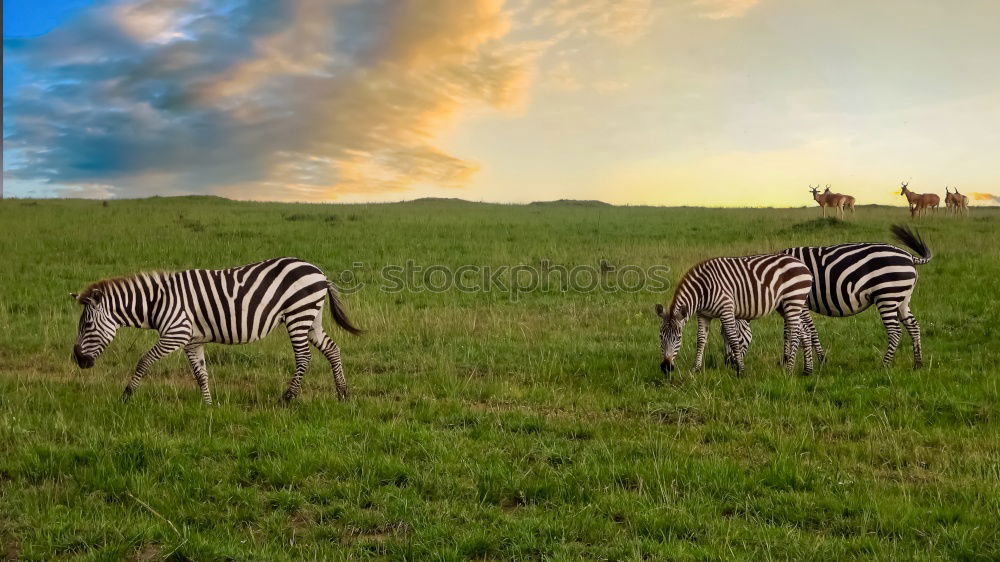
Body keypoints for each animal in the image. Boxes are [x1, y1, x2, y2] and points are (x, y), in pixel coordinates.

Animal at [72, 256, 366, 404]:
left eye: (87, 325)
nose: (77, 360)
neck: (159, 301)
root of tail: (319, 272)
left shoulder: (176, 333)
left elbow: (143, 360)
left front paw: (126, 396)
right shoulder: (192, 340)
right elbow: (200, 373)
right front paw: (208, 405)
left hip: (298, 314)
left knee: (304, 357)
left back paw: (288, 398)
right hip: (312, 317)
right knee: (332, 349)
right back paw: (343, 394)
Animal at [652, 254, 816, 376]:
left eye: (678, 337)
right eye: (660, 336)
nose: (666, 367)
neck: (703, 290)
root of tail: (803, 265)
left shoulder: (726, 309)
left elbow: (733, 338)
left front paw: (740, 370)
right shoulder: (704, 315)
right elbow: (700, 340)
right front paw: (696, 369)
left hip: (793, 300)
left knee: (795, 333)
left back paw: (789, 370)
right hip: (785, 305)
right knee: (804, 331)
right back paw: (807, 370)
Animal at [728, 225, 928, 370]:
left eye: (733, 336)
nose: (728, 365)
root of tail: (909, 256)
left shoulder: (801, 303)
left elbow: (808, 330)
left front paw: (817, 360)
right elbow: (792, 331)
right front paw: (791, 360)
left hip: (887, 296)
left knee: (895, 332)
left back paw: (884, 365)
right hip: (901, 299)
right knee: (913, 326)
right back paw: (918, 364)